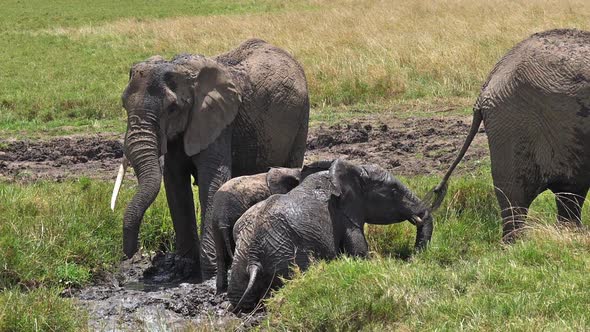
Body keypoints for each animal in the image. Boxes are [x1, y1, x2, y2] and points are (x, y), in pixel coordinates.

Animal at [112, 39, 312, 280]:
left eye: (172, 108)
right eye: (124, 104)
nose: (132, 253)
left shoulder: (218, 123)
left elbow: (212, 179)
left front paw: (210, 272)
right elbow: (175, 183)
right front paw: (183, 270)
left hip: (301, 117)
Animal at [230, 158, 434, 312]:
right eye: (393, 191)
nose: (412, 259)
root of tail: (254, 256)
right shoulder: (345, 217)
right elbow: (359, 252)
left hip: (240, 262)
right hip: (286, 256)